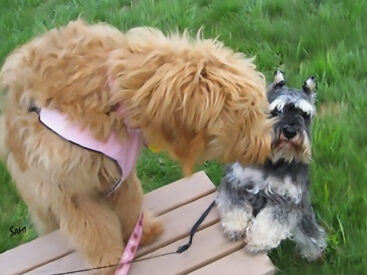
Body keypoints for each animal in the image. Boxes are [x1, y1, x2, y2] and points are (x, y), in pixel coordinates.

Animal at [0, 20, 274, 272]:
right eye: (247, 118)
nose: (268, 148)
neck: (111, 95)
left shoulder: (121, 172)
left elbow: (130, 205)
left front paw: (142, 232)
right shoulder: (74, 191)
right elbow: (94, 230)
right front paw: (109, 262)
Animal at [216, 70, 328, 260]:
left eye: (305, 114)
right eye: (277, 110)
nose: (290, 132)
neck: (274, 162)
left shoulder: (286, 200)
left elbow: (271, 221)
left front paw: (258, 241)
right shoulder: (237, 181)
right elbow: (234, 204)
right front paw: (235, 226)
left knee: (308, 232)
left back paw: (312, 252)